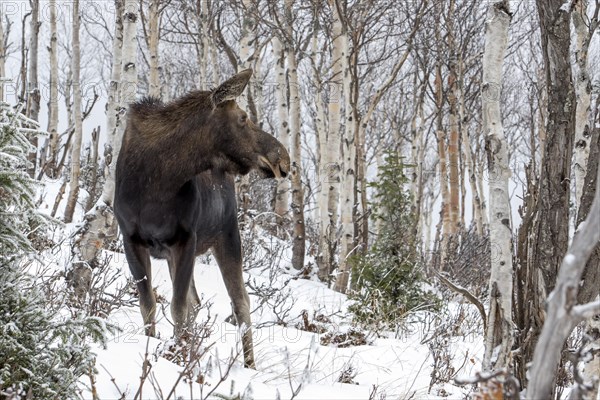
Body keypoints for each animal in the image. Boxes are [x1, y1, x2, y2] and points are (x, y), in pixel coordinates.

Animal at [115, 69, 290, 368]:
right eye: (243, 118)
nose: (283, 158)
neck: (157, 183)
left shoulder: (186, 239)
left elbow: (178, 307)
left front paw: (178, 353)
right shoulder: (132, 239)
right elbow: (149, 305)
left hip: (228, 236)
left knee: (240, 301)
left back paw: (249, 364)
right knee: (199, 301)